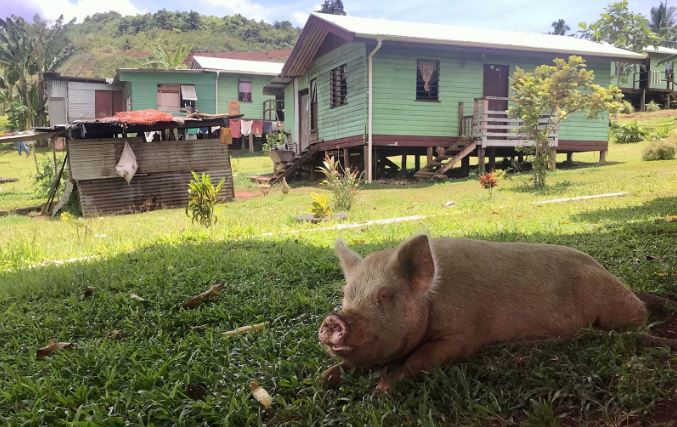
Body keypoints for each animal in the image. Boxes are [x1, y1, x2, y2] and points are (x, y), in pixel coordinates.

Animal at [320, 236, 648, 392]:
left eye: (385, 296)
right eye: (347, 296)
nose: (333, 320)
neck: (431, 300)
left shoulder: (464, 336)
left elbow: (421, 357)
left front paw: (383, 389)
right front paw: (324, 378)